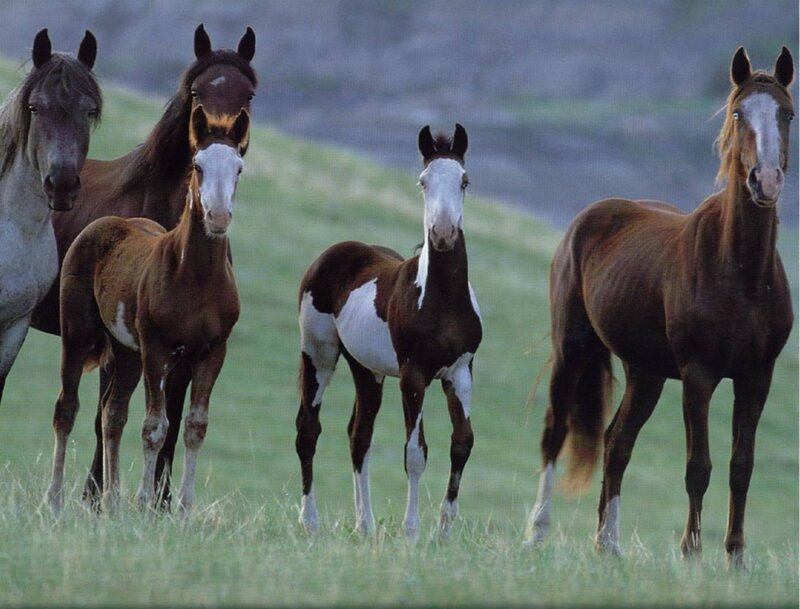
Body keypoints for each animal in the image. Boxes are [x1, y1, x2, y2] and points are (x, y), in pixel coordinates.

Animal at [30, 24, 257, 509]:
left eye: (248, 93)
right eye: (196, 90)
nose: (220, 127)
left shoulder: (191, 350)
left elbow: (175, 420)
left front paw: (163, 502)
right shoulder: (141, 344)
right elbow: (119, 419)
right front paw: (98, 498)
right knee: (76, 408)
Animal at [295, 124, 482, 539]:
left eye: (464, 180)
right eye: (423, 181)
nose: (443, 233)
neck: (441, 301)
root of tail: (333, 253)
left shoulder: (459, 373)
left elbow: (462, 443)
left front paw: (444, 531)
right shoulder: (413, 376)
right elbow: (415, 453)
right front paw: (411, 532)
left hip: (367, 371)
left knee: (358, 436)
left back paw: (364, 525)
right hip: (318, 353)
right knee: (308, 429)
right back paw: (309, 521)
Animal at [524, 46, 794, 567]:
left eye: (788, 114)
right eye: (738, 113)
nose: (765, 180)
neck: (741, 273)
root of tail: (590, 216)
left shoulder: (757, 377)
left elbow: (742, 465)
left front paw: (735, 557)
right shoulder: (699, 375)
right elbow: (699, 466)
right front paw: (691, 552)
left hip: (645, 373)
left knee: (617, 443)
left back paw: (607, 543)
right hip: (573, 349)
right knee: (555, 431)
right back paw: (537, 533)